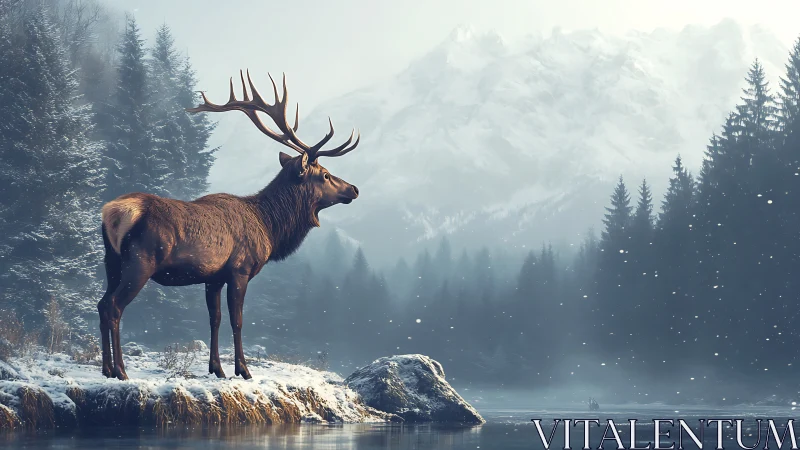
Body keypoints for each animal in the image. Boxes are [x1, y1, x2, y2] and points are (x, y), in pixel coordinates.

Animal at [97, 70, 361, 380]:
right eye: (326, 175)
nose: (354, 189)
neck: (269, 226)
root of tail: (112, 213)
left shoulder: (213, 276)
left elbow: (215, 319)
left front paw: (217, 369)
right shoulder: (240, 269)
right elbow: (237, 320)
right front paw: (243, 369)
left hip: (111, 261)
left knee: (102, 304)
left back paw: (105, 368)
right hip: (140, 261)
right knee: (115, 306)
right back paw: (120, 371)